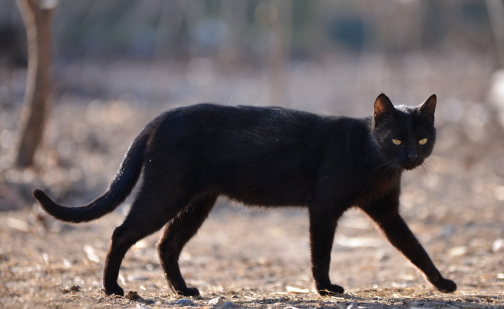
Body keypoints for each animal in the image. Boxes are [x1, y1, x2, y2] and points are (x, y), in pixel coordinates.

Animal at [32, 93, 456, 296]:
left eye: (422, 139)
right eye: (396, 139)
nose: (411, 156)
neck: (378, 164)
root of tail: (160, 118)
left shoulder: (387, 213)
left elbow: (415, 248)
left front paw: (442, 283)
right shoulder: (324, 207)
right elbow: (321, 252)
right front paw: (325, 289)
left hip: (196, 202)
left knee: (167, 244)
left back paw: (184, 290)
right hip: (167, 193)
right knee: (122, 233)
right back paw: (113, 289)